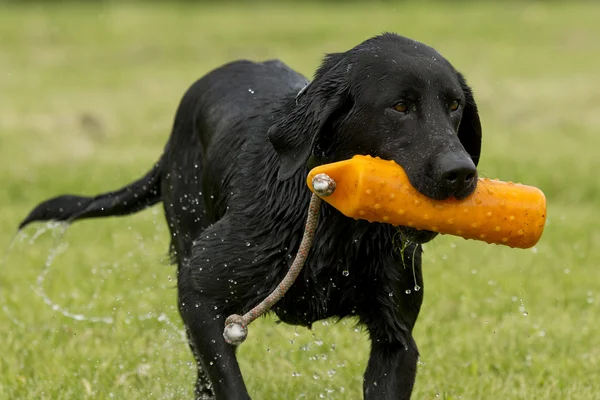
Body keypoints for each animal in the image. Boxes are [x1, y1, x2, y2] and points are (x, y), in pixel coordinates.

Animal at [19, 32, 482, 398]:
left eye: (454, 105)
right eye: (400, 106)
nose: (461, 173)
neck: (332, 225)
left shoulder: (396, 341)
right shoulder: (200, 297)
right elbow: (227, 380)